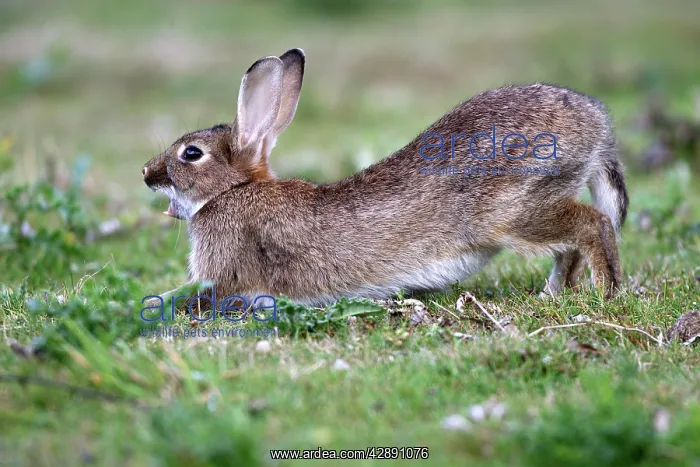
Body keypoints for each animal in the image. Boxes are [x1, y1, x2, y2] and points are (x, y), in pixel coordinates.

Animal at [142, 48, 628, 308]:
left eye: (190, 154)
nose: (146, 173)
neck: (235, 190)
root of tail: (599, 125)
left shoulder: (225, 272)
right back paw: (552, 295)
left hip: (513, 210)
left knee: (593, 225)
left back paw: (606, 295)